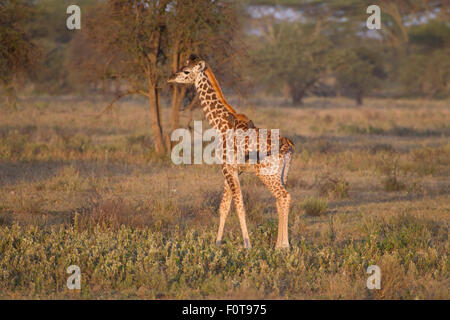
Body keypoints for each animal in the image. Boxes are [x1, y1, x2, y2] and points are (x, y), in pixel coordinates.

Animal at [167, 54, 294, 250]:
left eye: (186, 71)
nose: (170, 77)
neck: (220, 124)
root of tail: (288, 147)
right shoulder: (232, 170)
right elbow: (224, 207)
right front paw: (217, 243)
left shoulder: (227, 167)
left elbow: (239, 205)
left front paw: (247, 245)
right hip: (282, 174)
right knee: (280, 200)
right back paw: (278, 246)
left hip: (267, 174)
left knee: (284, 197)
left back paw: (284, 247)